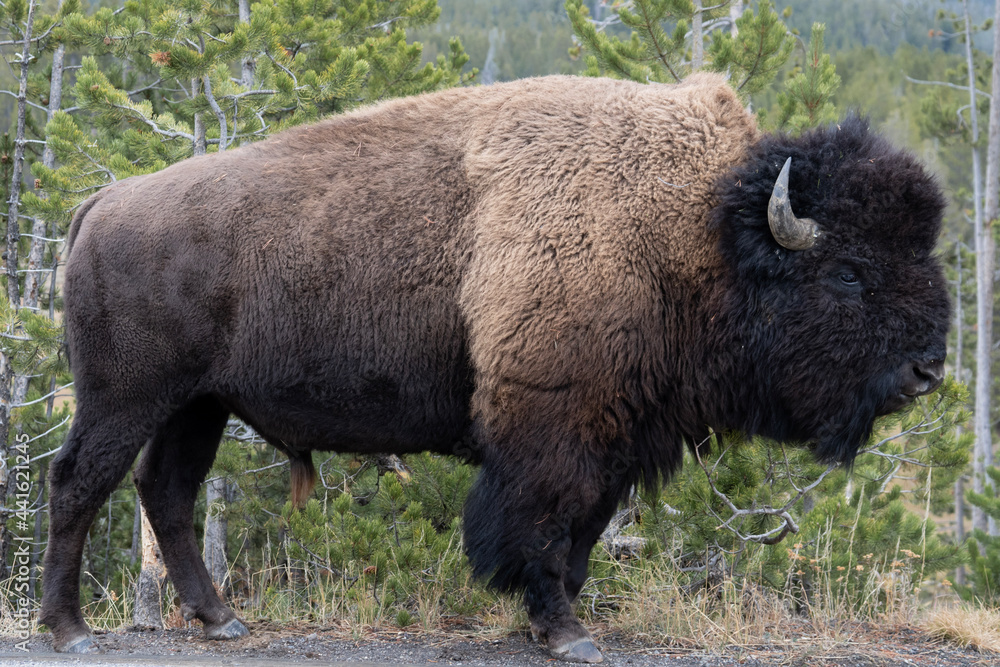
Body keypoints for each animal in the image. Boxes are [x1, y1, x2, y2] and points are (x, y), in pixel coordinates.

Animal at [41, 74, 944, 664]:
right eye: (849, 272)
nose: (928, 370)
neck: (696, 230)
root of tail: (104, 201)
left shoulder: (613, 435)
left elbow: (581, 532)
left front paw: (554, 622)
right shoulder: (550, 427)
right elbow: (541, 525)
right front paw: (567, 633)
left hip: (199, 403)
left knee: (166, 491)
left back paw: (220, 618)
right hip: (124, 396)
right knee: (80, 482)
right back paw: (70, 628)